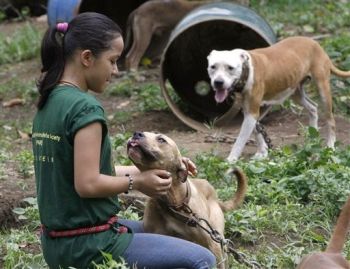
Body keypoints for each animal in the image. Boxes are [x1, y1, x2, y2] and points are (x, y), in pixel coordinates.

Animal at [127, 131, 247, 266]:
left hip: (217, 238)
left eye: (161, 139)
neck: (174, 204)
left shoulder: (213, 244)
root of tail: (216, 198)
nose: (136, 134)